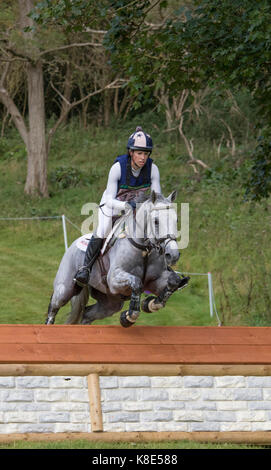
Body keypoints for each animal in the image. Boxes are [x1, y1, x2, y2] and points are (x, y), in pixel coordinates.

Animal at [45, 191, 189, 326]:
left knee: (87, 313)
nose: (173, 255)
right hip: (65, 288)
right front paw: (130, 316)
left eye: (176, 220)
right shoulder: (113, 279)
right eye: (156, 221)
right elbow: (136, 282)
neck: (144, 250)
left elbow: (174, 281)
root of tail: (72, 245)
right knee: (54, 306)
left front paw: (150, 304)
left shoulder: (156, 281)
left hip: (110, 303)